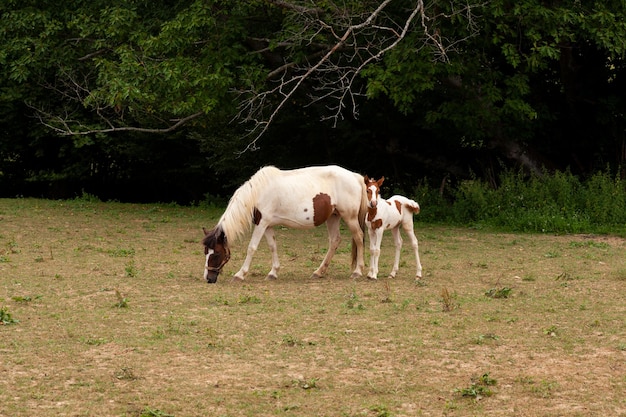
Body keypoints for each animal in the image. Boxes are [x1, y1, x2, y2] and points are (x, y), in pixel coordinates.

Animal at [200, 166, 368, 282]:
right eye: (205, 252)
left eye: (216, 253)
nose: (208, 278)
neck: (258, 193)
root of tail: (355, 176)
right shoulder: (267, 225)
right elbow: (272, 246)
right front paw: (273, 273)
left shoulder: (261, 224)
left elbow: (252, 248)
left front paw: (240, 274)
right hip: (333, 217)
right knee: (335, 241)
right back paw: (318, 272)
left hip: (350, 217)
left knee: (359, 237)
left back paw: (357, 272)